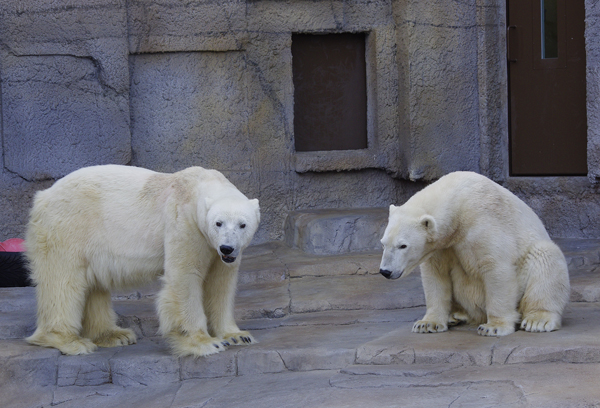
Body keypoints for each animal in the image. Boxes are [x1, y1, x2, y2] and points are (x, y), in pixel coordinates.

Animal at [25, 164, 260, 356]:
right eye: (218, 223)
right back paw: (70, 340)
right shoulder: (184, 222)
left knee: (93, 284)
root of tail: (42, 196)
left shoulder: (218, 252)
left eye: (243, 224)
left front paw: (237, 335)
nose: (227, 247)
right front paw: (205, 343)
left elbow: (221, 284)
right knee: (63, 282)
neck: (199, 186)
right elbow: (185, 276)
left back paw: (114, 335)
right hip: (68, 226)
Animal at [382, 171, 568, 336]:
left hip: (535, 257)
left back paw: (538, 320)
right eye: (383, 243)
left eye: (403, 246)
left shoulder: (483, 222)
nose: (385, 271)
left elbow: (496, 268)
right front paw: (427, 324)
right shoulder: (443, 246)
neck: (459, 202)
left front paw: (494, 327)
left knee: (546, 259)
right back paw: (456, 315)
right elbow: (436, 274)